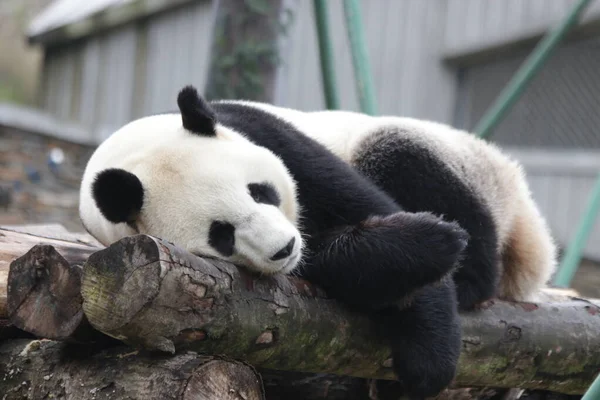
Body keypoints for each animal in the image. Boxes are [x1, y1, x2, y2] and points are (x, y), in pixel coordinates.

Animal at [82, 84, 472, 396]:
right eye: (222, 234)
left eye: (259, 192)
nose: (284, 248)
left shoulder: (275, 138)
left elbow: (364, 205)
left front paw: (428, 358)